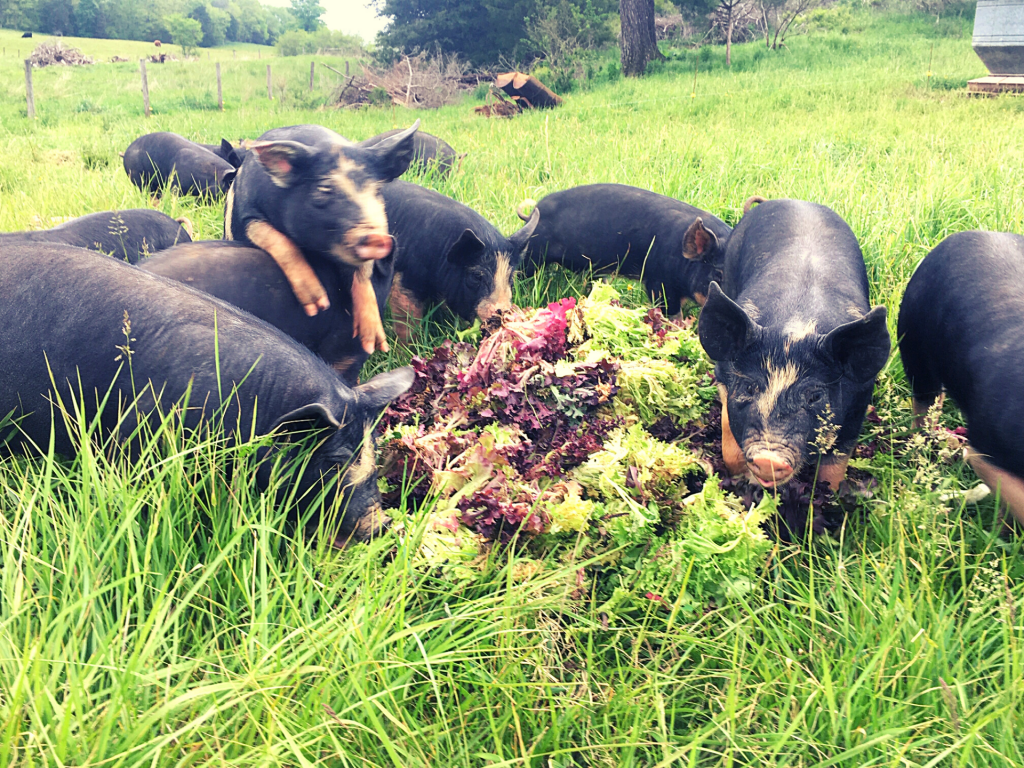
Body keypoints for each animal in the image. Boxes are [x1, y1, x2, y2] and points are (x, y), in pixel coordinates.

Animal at [223, 122, 415, 354]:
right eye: (324, 189)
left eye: (377, 190)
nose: (378, 238)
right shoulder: (247, 216)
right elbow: (275, 239)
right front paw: (318, 305)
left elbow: (362, 274)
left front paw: (374, 344)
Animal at [696, 196, 888, 487]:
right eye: (750, 387)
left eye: (815, 395)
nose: (768, 458)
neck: (794, 327)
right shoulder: (722, 372)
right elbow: (729, 433)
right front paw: (739, 481)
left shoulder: (860, 399)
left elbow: (835, 467)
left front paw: (828, 494)